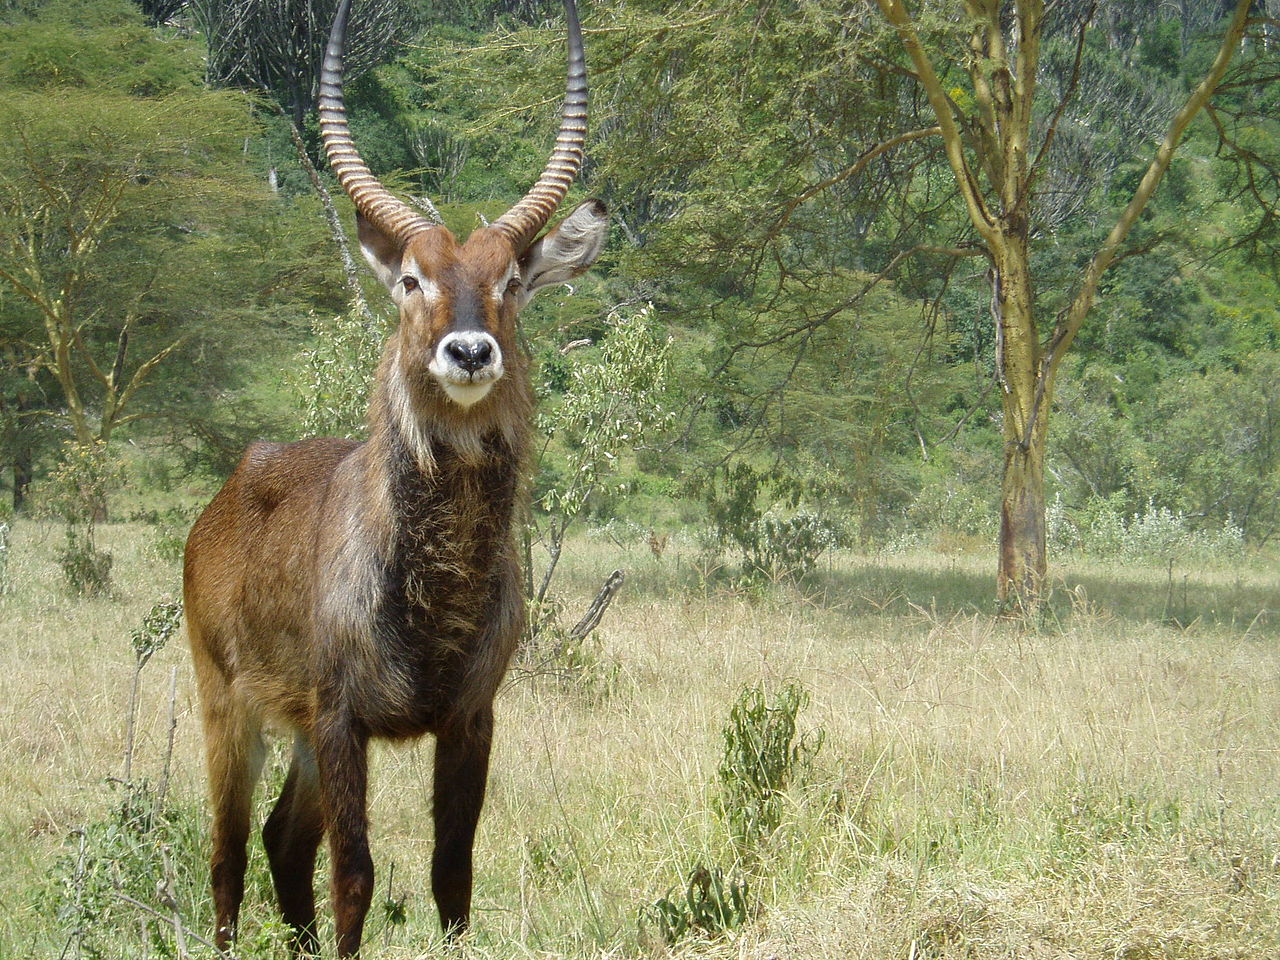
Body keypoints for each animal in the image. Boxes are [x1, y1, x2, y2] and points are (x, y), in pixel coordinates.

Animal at [180, 1, 609, 957]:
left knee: (280, 841)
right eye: (412, 279)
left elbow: (453, 874)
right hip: (231, 710)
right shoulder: (342, 718)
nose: (469, 351)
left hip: (297, 734)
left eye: (511, 280)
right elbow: (355, 878)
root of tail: (228, 493)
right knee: (228, 853)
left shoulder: (471, 716)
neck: (432, 590)